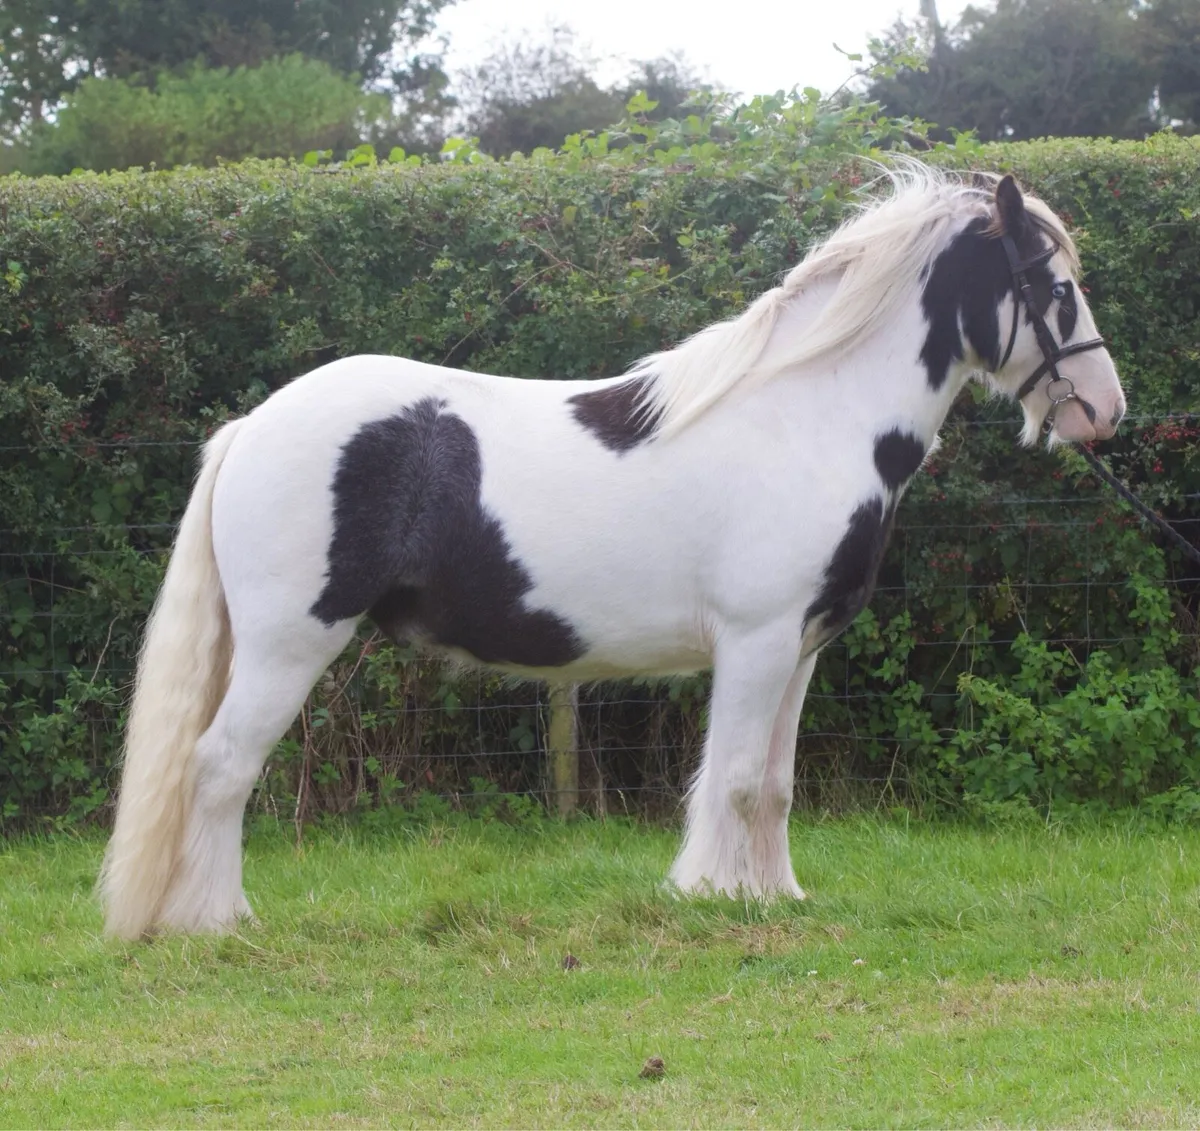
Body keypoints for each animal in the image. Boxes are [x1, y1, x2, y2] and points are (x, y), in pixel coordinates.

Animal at [98, 165, 1126, 939]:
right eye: (1056, 287)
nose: (1105, 410)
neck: (809, 417)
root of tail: (253, 426)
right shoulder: (755, 642)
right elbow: (735, 779)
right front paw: (716, 897)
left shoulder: (800, 648)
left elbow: (777, 784)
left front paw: (776, 898)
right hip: (289, 645)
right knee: (219, 767)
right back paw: (220, 921)